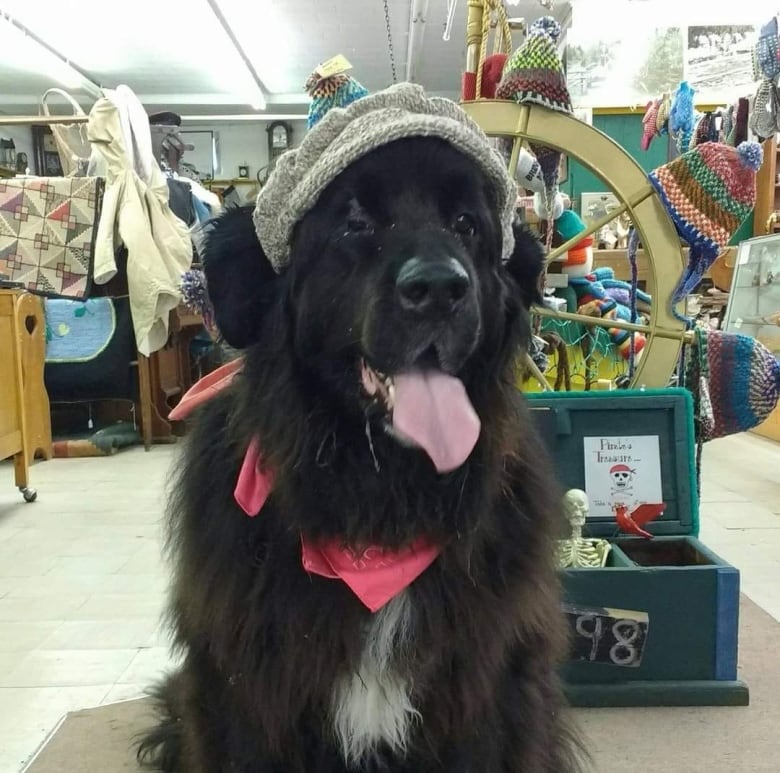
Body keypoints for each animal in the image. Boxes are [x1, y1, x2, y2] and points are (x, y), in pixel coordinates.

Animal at [137, 87, 580, 768]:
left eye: (466, 224)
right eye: (354, 222)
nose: (440, 288)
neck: (376, 501)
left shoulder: (487, 694)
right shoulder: (244, 696)